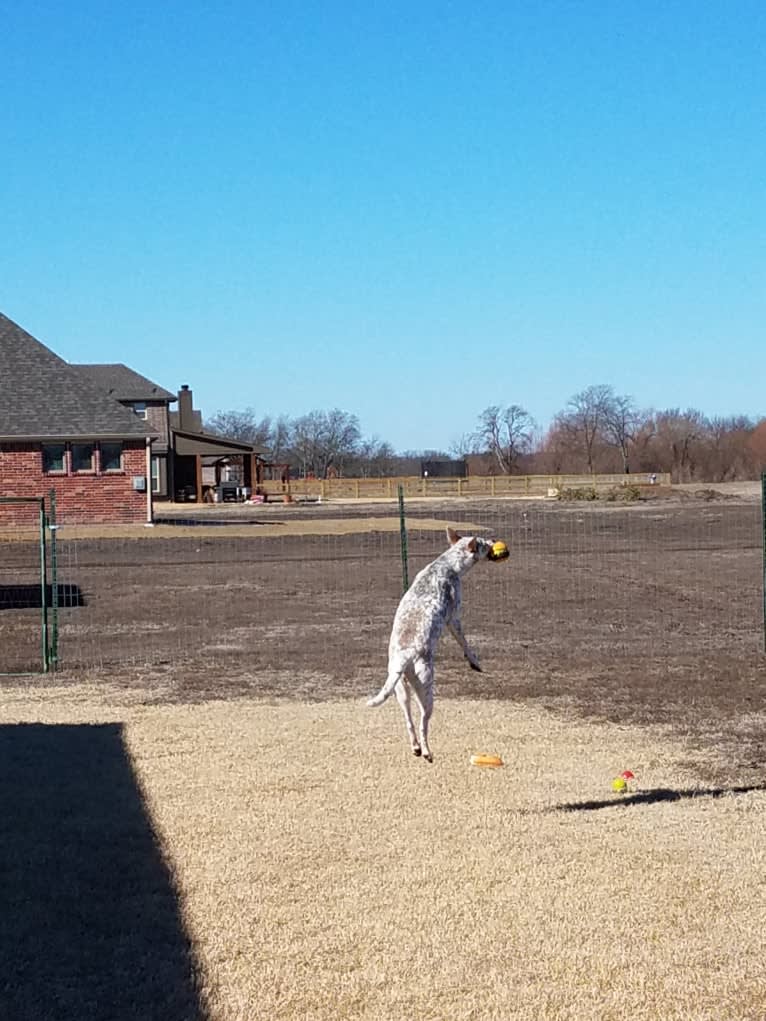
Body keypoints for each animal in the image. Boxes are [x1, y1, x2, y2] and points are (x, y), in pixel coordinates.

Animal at [367, 530, 510, 763]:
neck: (446, 564)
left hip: (400, 691)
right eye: (482, 543)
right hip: (426, 691)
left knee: (409, 722)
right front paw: (474, 661)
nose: (494, 540)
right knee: (423, 724)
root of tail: (404, 657)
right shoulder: (454, 618)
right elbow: (465, 643)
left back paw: (416, 747)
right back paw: (426, 751)